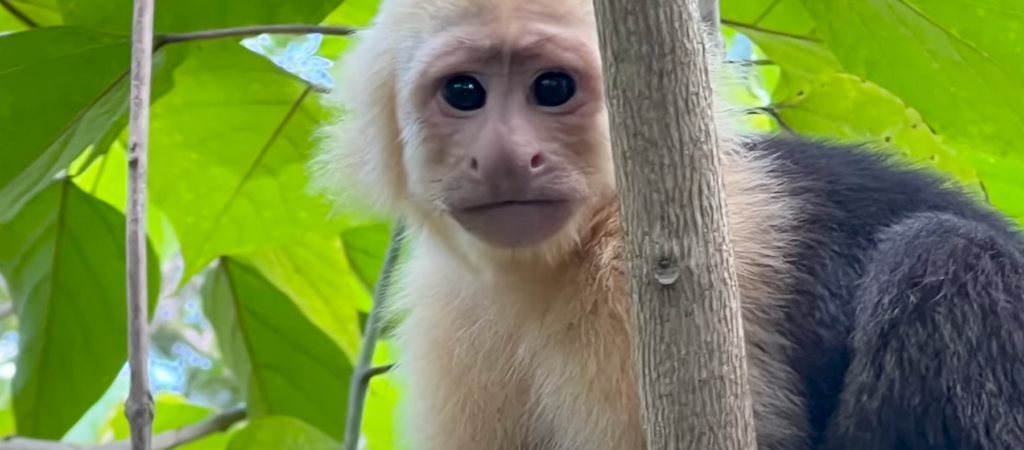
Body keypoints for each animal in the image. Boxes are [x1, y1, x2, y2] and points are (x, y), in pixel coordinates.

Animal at [307, 0, 1024, 446]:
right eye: (464, 93)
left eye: (551, 89)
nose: (508, 157)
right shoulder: (449, 311)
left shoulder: (649, 276)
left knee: (947, 255)